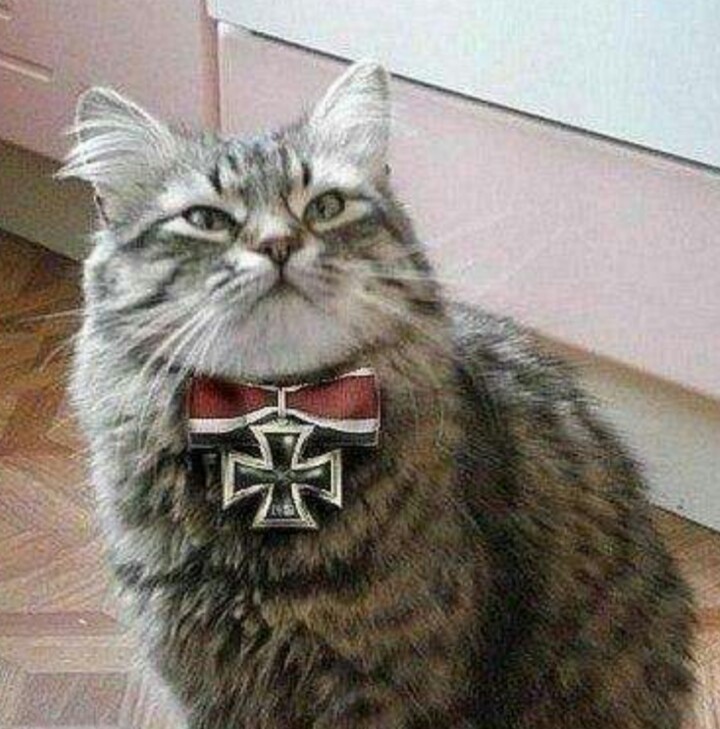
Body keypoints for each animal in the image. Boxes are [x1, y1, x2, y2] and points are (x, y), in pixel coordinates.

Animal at [59, 61, 694, 728]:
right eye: (207, 219)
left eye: (326, 206)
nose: (279, 244)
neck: (278, 427)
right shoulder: (207, 681)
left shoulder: (389, 686)